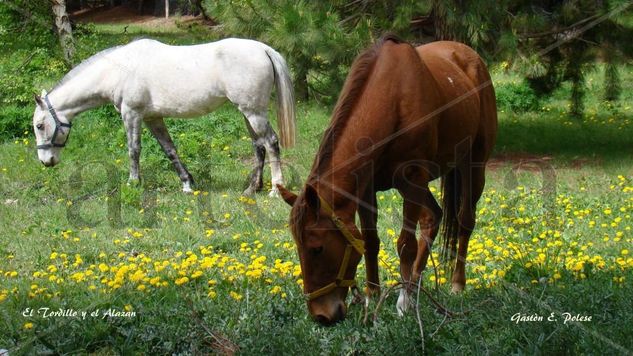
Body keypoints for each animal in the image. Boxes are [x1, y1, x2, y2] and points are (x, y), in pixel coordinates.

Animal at [32, 37, 294, 196]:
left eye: (39, 125)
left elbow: (133, 150)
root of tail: (263, 49)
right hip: (247, 113)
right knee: (258, 146)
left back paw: (275, 189)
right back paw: (252, 189)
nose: (46, 161)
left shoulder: (132, 115)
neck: (118, 70)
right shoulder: (152, 118)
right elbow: (169, 149)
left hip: (253, 112)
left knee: (271, 142)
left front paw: (133, 183)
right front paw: (187, 184)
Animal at [278, 36, 496, 326]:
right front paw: (372, 298)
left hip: (472, 166)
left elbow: (405, 244)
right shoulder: (366, 189)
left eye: (317, 249)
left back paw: (455, 284)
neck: (393, 101)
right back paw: (415, 286)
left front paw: (402, 305)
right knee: (433, 217)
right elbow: (370, 241)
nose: (322, 315)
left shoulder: (413, 180)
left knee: (464, 221)